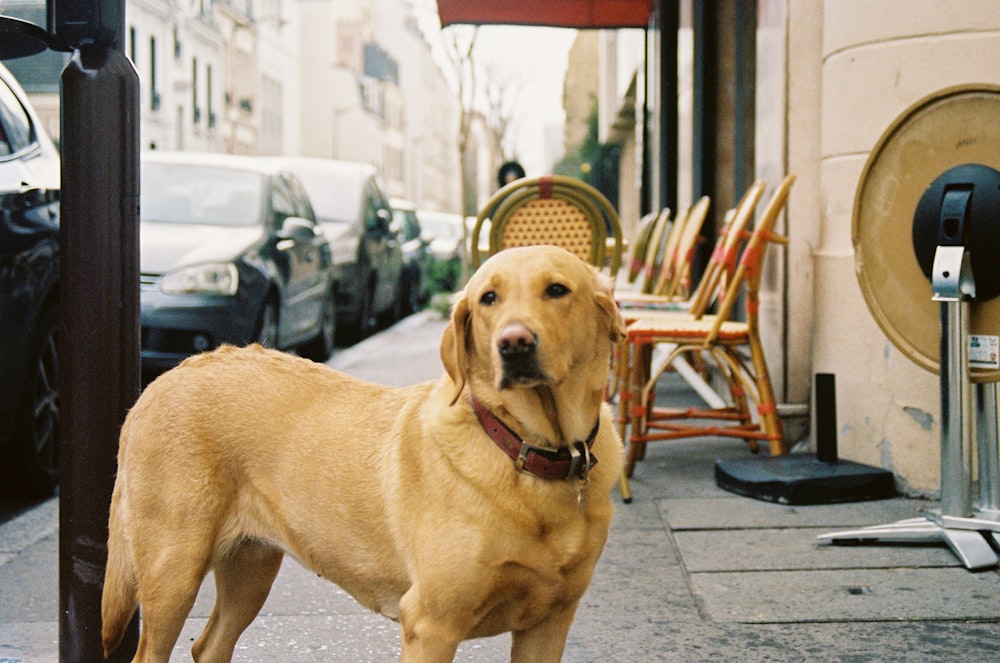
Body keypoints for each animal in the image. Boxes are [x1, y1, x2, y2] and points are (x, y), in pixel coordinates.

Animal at [103, 246, 624, 660]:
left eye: (557, 290)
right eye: (488, 299)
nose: (514, 344)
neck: (530, 449)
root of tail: (164, 378)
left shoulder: (548, 625)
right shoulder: (431, 624)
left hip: (251, 568)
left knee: (209, 645)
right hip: (173, 570)